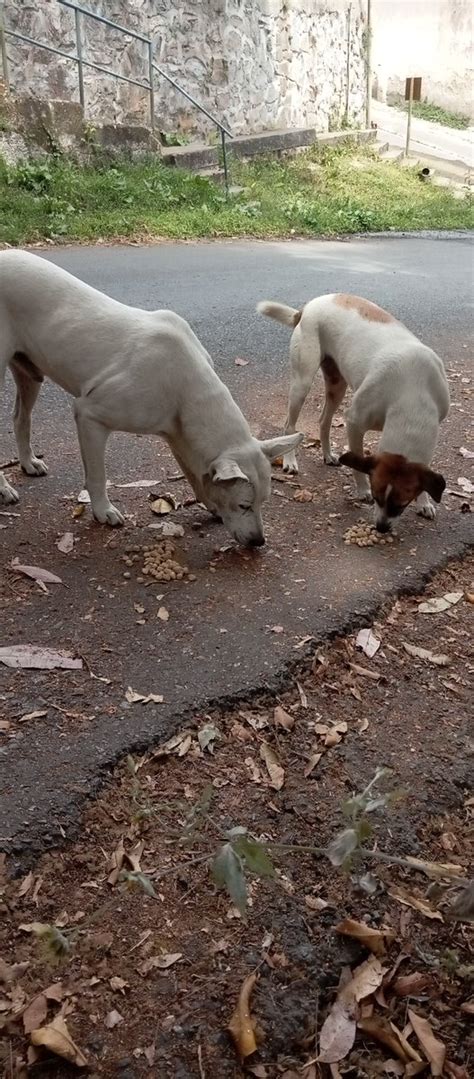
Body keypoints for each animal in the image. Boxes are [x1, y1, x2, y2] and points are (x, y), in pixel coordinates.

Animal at [0, 252, 302, 548]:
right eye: (243, 505)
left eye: (263, 502)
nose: (259, 542)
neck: (186, 387)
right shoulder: (89, 416)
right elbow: (97, 475)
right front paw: (102, 511)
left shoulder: (178, 436)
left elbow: (194, 473)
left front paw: (210, 505)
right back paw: (5, 489)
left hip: (30, 376)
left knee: (20, 418)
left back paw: (28, 462)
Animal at [258, 293, 451, 533]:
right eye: (377, 497)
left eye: (402, 504)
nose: (381, 527)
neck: (413, 396)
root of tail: (308, 307)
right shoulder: (354, 421)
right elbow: (358, 464)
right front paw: (362, 490)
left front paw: (424, 502)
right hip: (302, 383)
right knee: (289, 425)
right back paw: (290, 461)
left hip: (336, 386)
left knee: (324, 421)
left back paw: (327, 454)